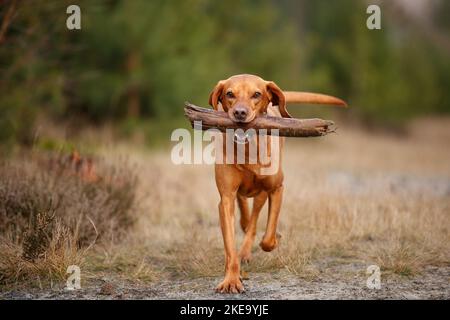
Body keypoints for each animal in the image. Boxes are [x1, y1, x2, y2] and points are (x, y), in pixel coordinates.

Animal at [209, 74, 346, 292]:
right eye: (229, 94)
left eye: (256, 94)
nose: (239, 113)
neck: (249, 149)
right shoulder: (226, 198)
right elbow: (230, 244)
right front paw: (231, 279)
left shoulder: (276, 189)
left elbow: (267, 236)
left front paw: (274, 241)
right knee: (245, 214)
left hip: (262, 193)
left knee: (254, 220)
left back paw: (248, 248)